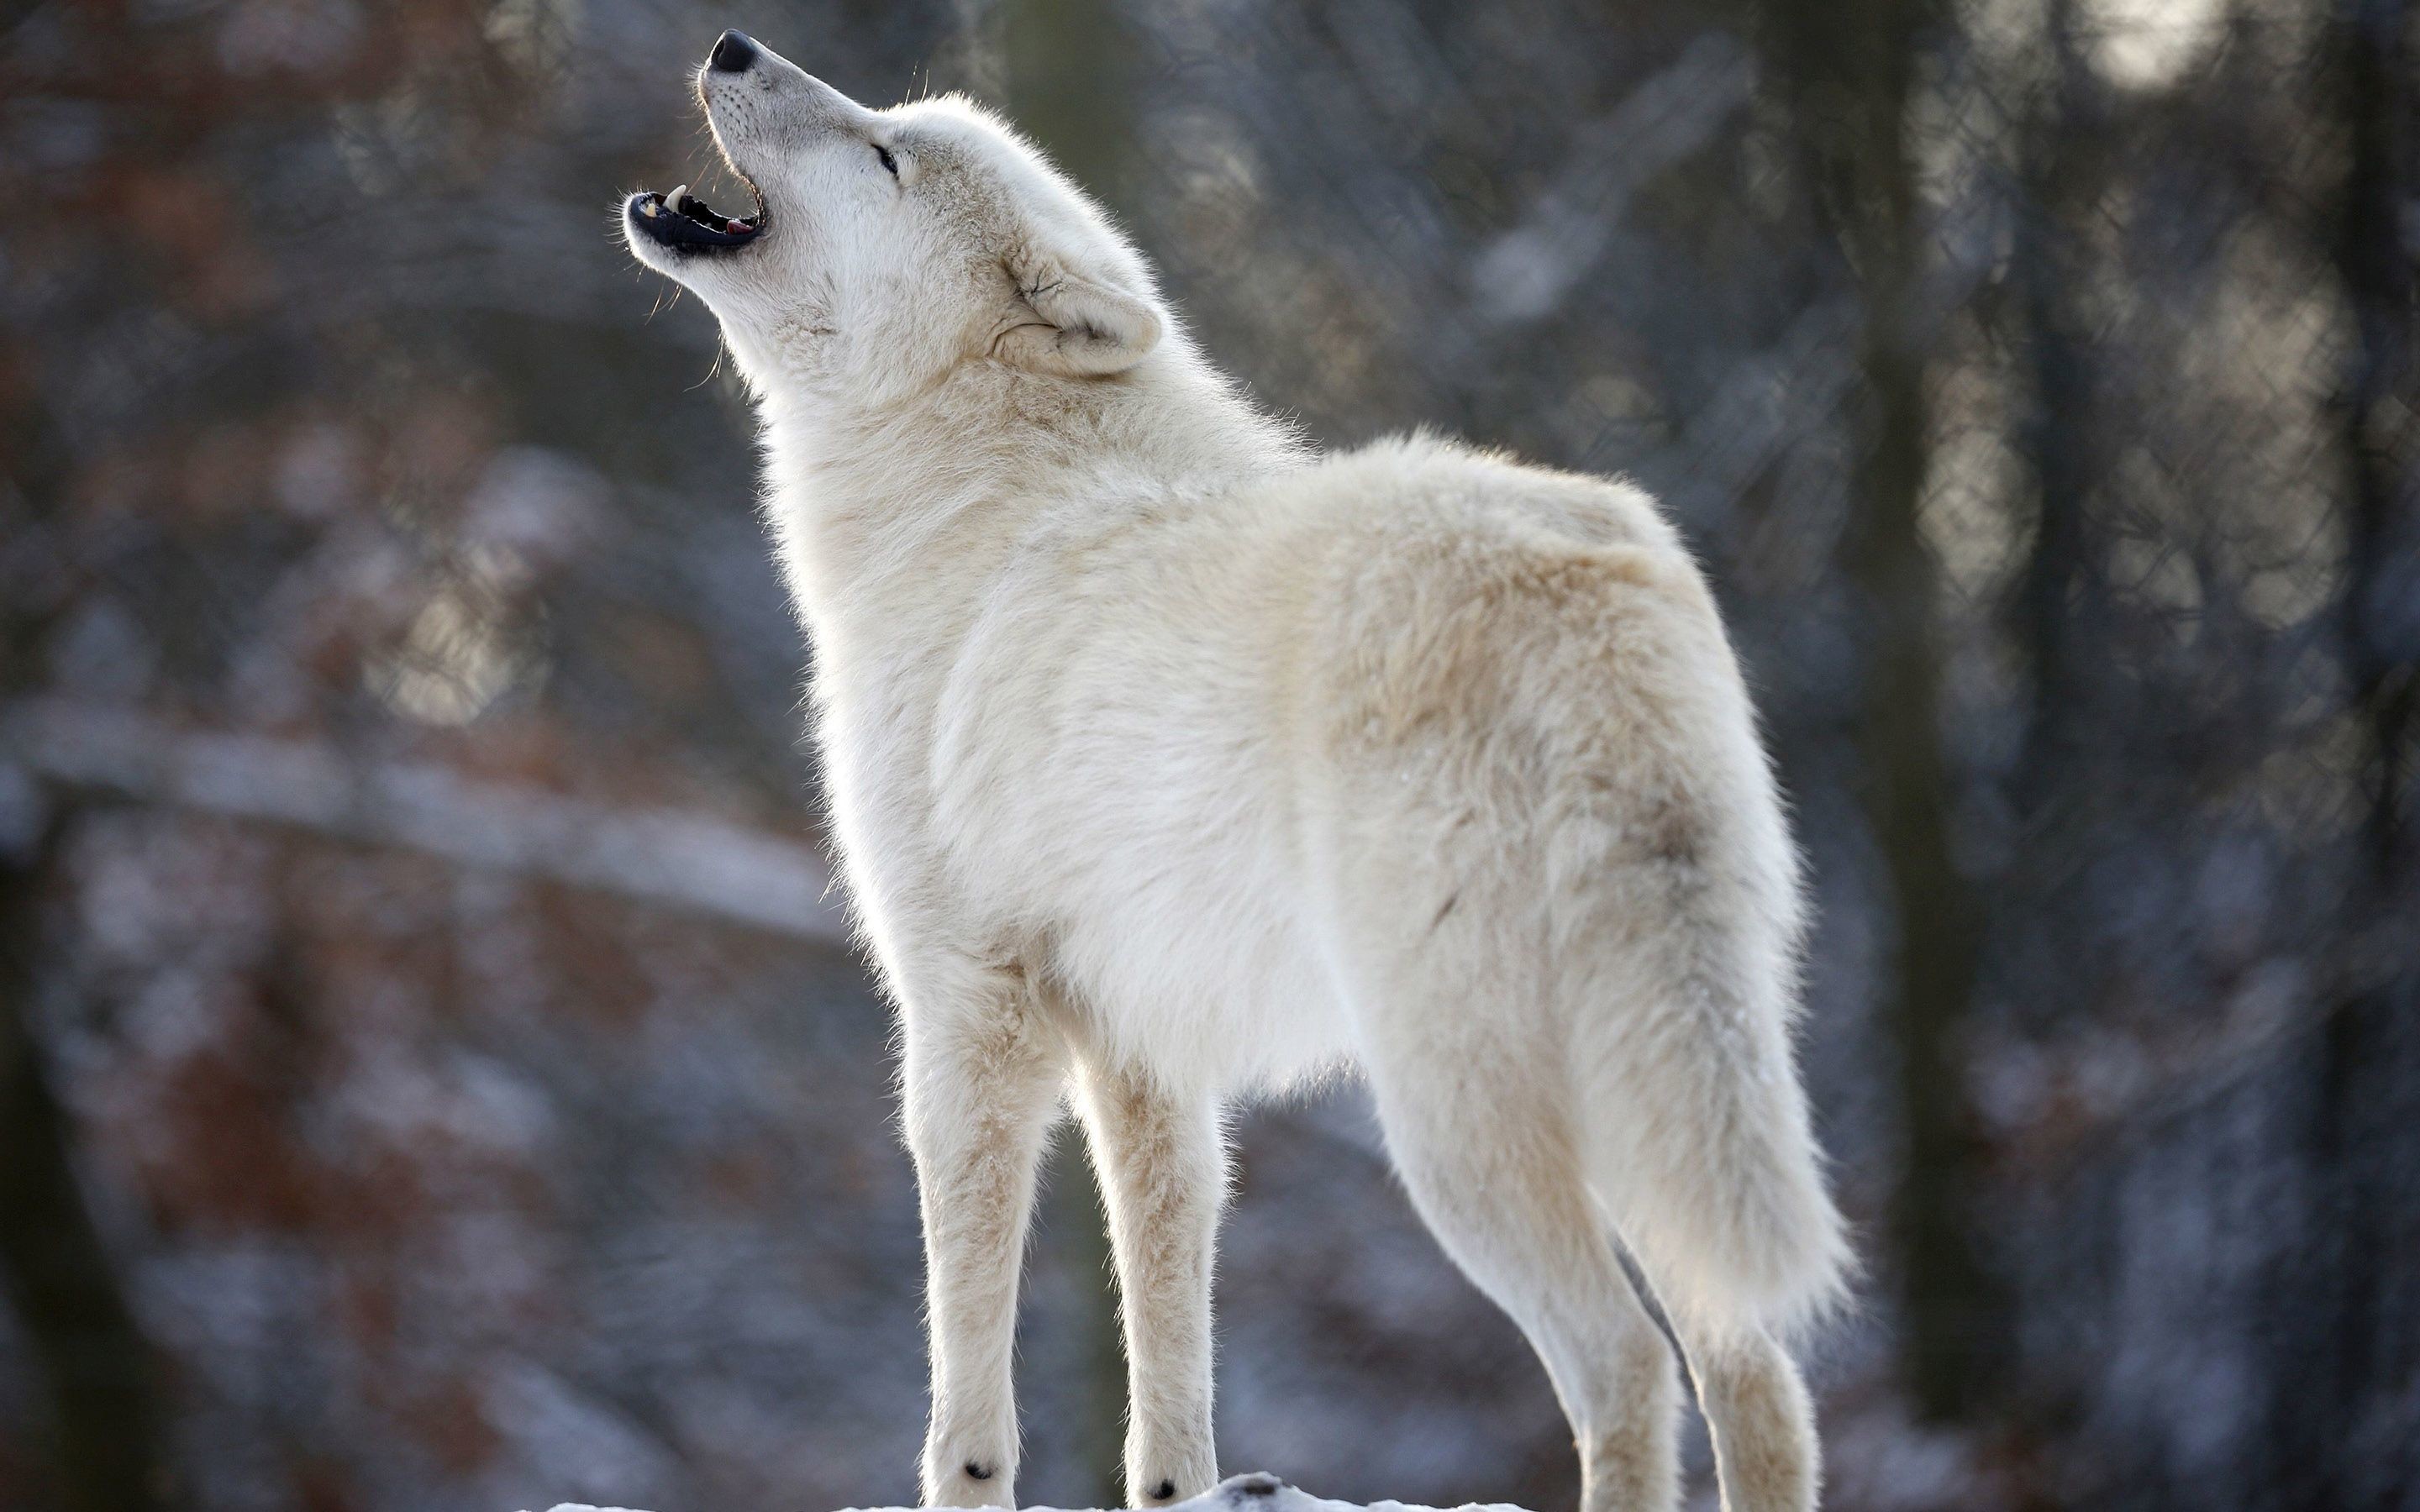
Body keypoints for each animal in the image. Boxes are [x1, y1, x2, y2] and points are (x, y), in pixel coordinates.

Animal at [624, 29, 1851, 1512]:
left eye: (883, 155)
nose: (732, 43)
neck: (973, 493)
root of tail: (1586, 587)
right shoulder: (1145, 1041)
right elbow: (1168, 1333)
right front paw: (1183, 1489)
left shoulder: (967, 1005)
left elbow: (966, 1366)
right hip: (1642, 1096)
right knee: (1757, 1374)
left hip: (1455, 1125)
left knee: (1629, 1365)